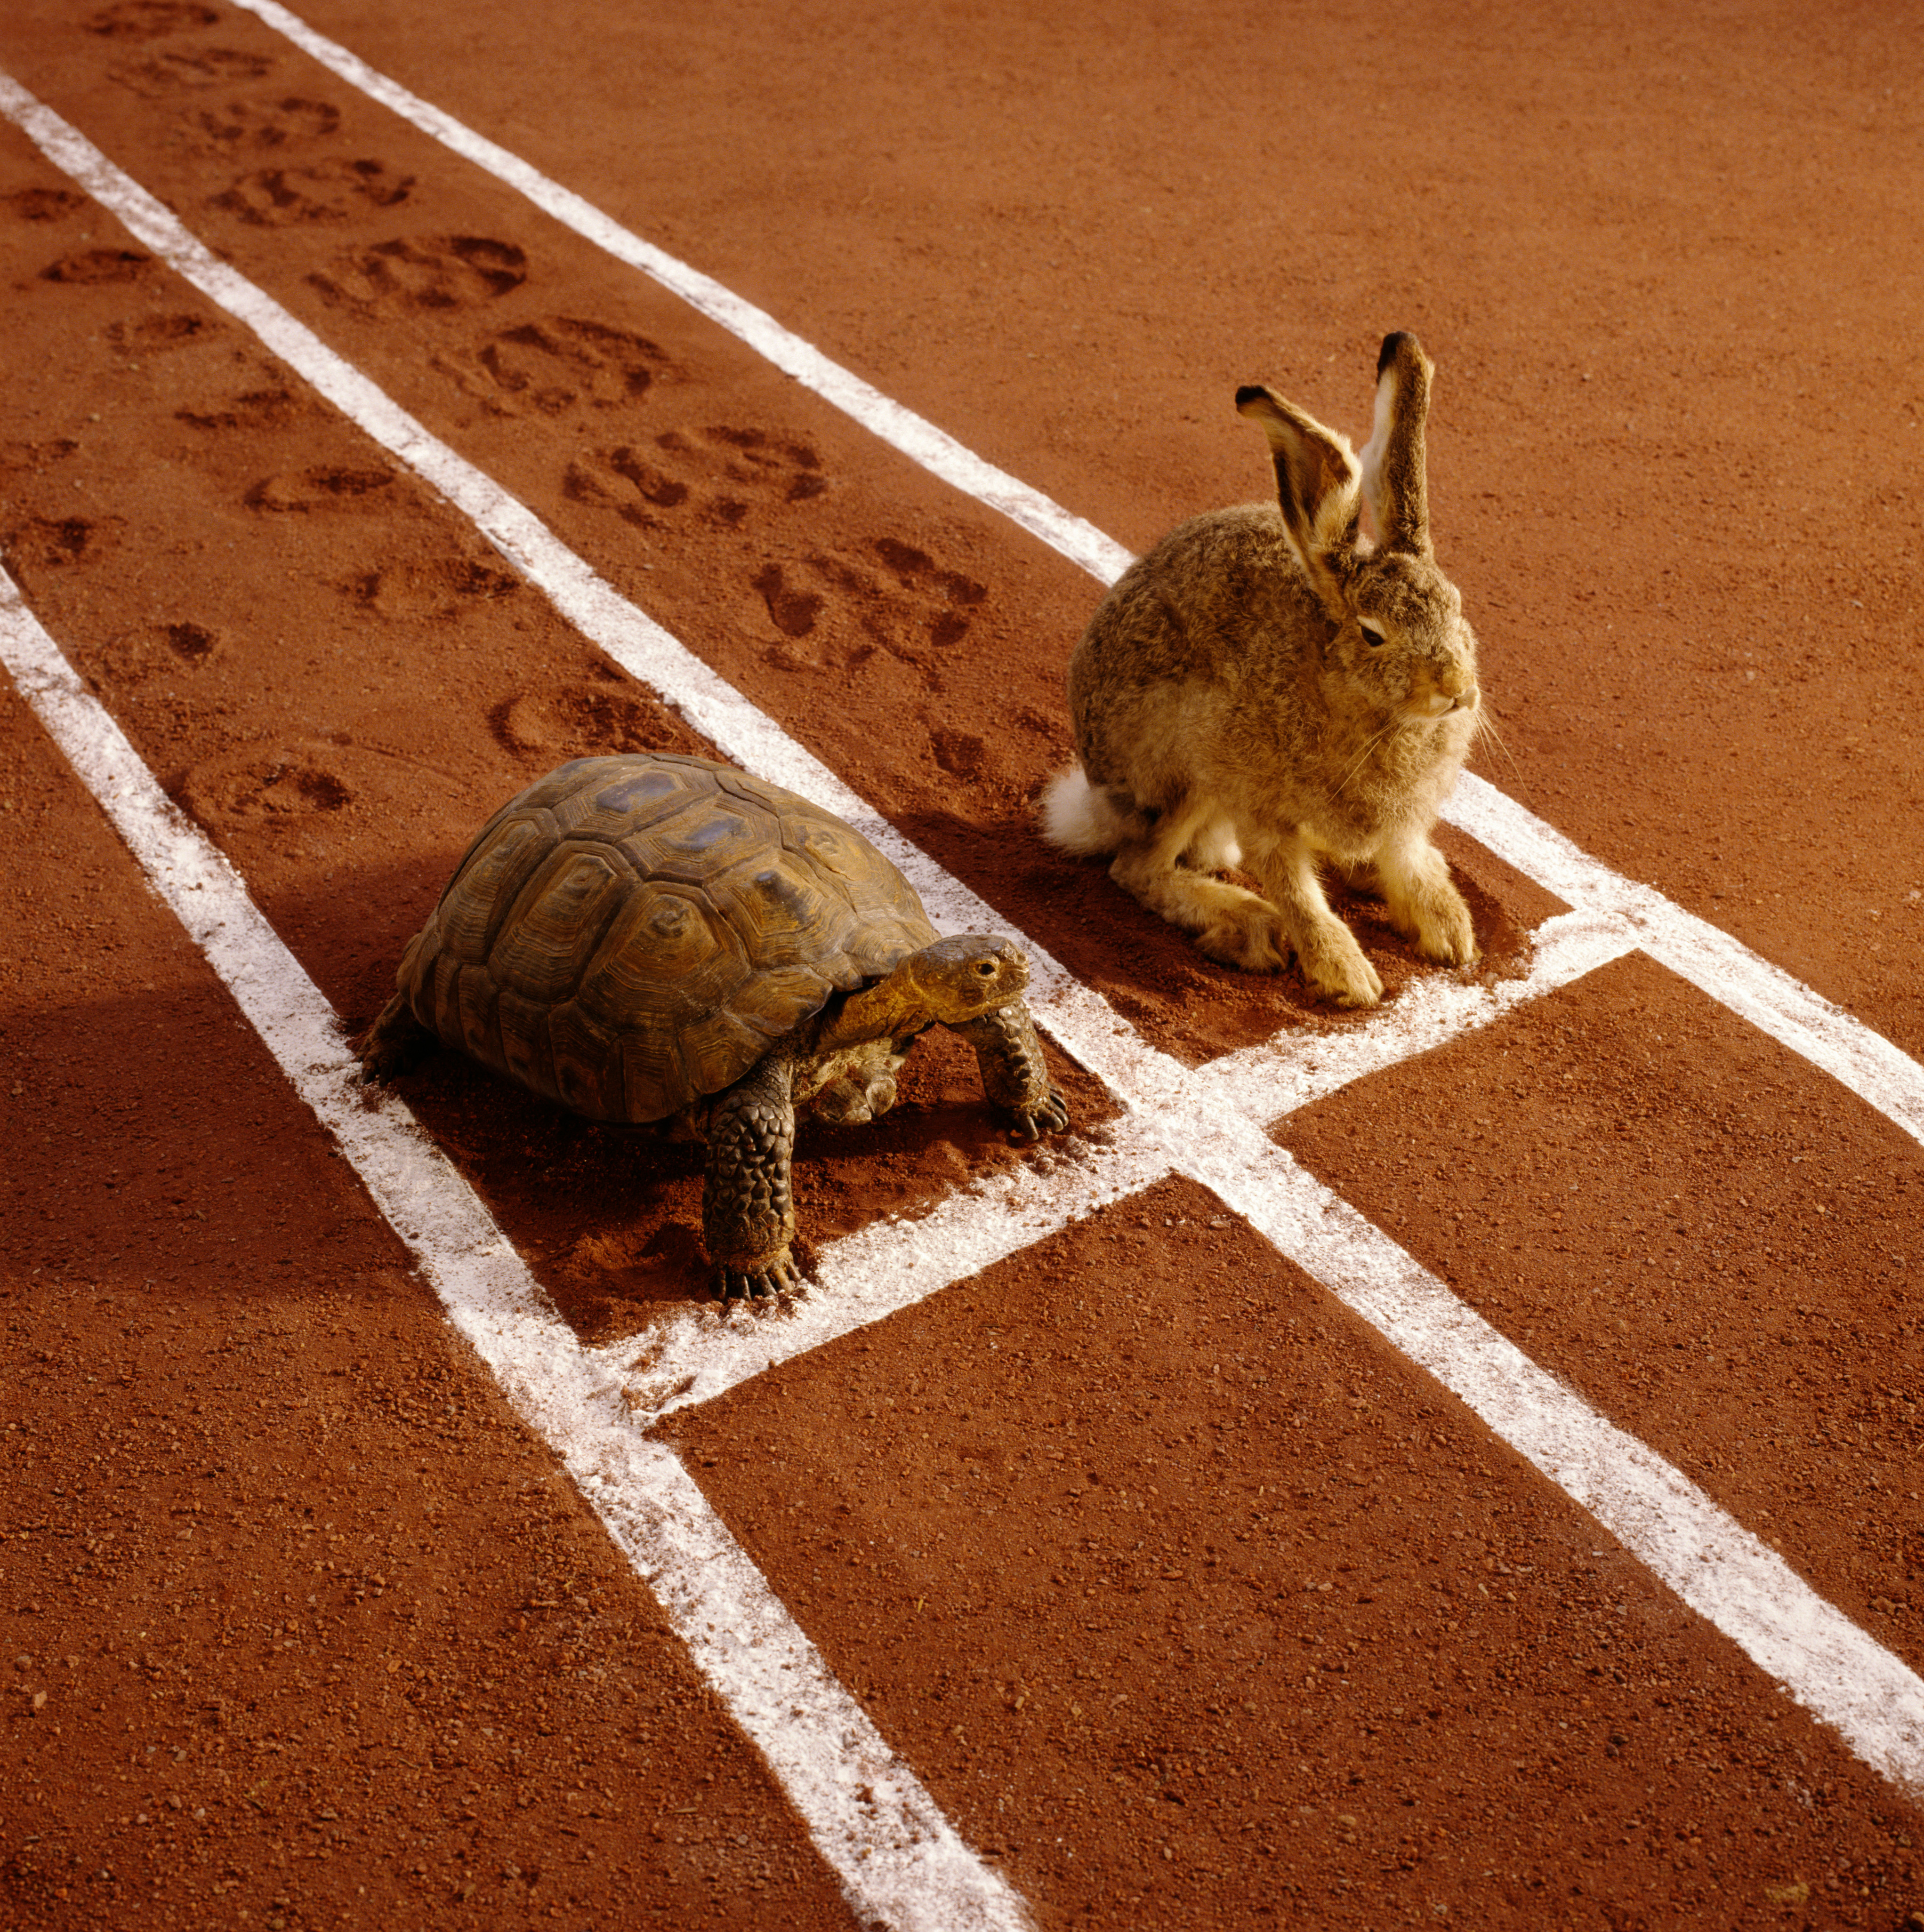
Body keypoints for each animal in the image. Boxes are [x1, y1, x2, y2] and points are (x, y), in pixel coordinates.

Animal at [1041, 331, 1483, 1009]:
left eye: (1456, 606)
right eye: (1372, 634)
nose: (1457, 691)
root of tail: (1095, 800)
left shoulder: (1405, 822)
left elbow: (1408, 861)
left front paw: (1451, 933)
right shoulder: (1259, 806)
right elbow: (1297, 893)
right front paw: (1347, 976)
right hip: (1183, 766)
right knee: (1138, 868)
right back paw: (1247, 924)